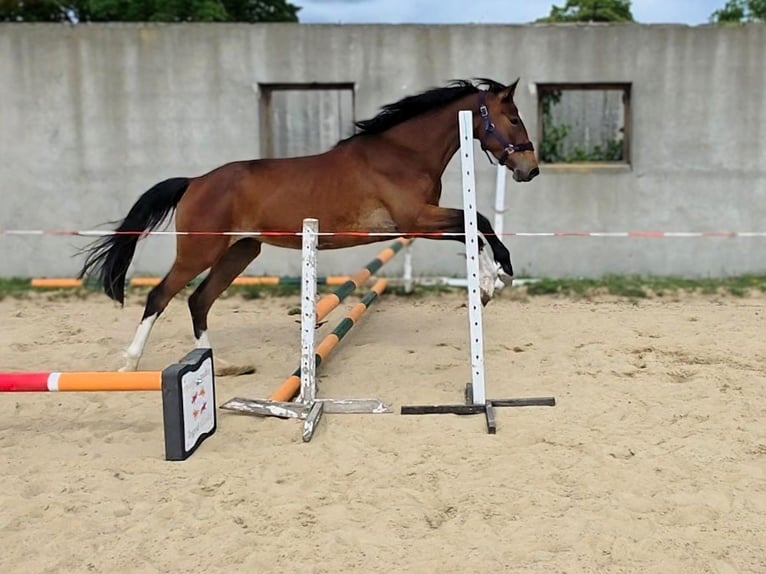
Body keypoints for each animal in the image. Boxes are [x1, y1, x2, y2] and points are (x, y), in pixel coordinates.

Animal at [79, 77, 539, 373]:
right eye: (514, 118)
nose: (530, 170)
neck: (403, 153)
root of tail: (194, 181)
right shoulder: (416, 219)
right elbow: (477, 223)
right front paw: (498, 276)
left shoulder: (415, 224)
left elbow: (472, 228)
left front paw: (488, 283)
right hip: (200, 251)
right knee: (160, 296)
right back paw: (130, 364)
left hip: (240, 251)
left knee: (198, 300)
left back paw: (217, 364)